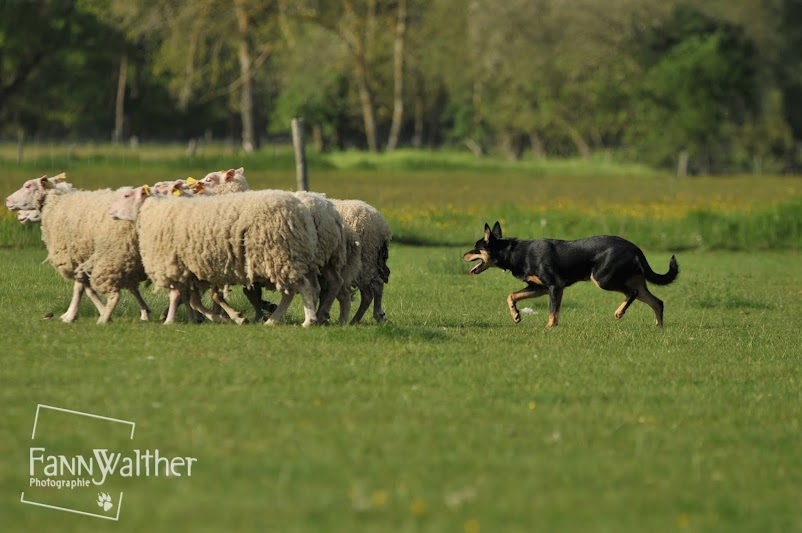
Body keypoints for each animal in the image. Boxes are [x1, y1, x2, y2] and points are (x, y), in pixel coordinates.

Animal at [110, 185, 322, 326]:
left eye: (127, 195)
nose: (111, 212)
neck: (153, 211)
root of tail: (301, 212)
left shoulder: (174, 265)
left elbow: (177, 296)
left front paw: (169, 321)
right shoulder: (192, 272)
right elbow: (193, 300)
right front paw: (220, 317)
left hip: (278, 255)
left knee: (301, 287)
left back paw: (307, 320)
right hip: (291, 257)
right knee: (298, 290)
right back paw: (274, 320)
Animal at [462, 222, 676, 326]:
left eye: (476, 248)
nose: (463, 254)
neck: (515, 252)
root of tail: (634, 247)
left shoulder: (555, 286)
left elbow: (552, 311)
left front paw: (549, 328)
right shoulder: (539, 287)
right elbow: (511, 296)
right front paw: (516, 315)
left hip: (603, 279)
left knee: (631, 293)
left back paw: (619, 312)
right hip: (635, 282)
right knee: (657, 302)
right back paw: (659, 327)